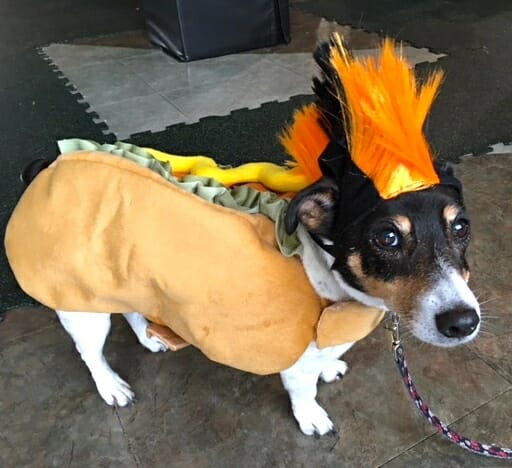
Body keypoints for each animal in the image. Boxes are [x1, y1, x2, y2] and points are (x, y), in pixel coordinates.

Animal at [8, 37, 480, 438]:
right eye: (387, 238)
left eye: (461, 227)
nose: (463, 322)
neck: (330, 283)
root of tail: (49, 165)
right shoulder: (296, 356)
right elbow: (303, 388)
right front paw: (311, 416)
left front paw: (330, 369)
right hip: (79, 304)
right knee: (90, 352)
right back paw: (111, 386)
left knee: (133, 310)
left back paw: (149, 338)